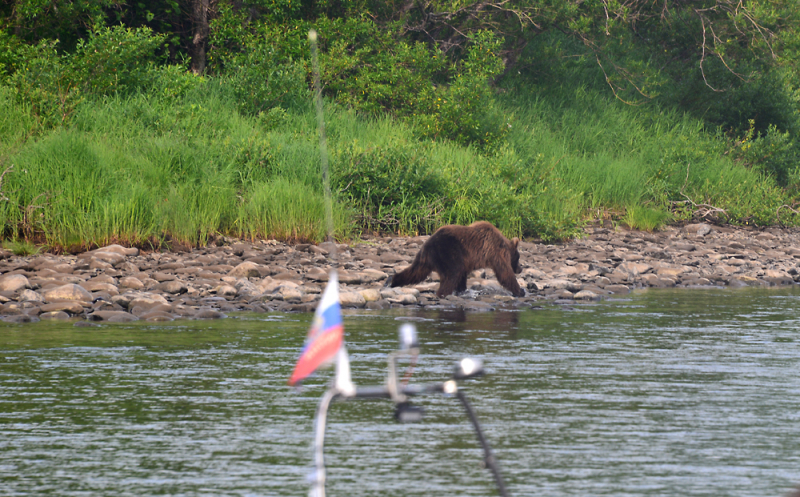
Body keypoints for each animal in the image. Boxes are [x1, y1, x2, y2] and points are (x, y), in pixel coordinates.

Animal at [392, 223, 528, 296]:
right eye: (518, 258)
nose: (520, 269)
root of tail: (428, 245)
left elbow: (463, 275)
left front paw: (462, 290)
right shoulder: (496, 252)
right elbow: (504, 273)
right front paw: (520, 290)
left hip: (426, 258)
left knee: (416, 271)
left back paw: (392, 280)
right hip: (448, 252)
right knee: (452, 274)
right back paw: (442, 293)